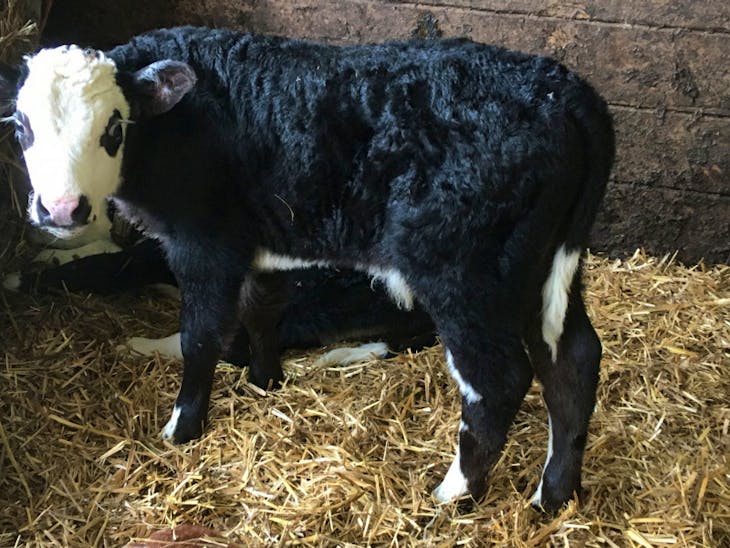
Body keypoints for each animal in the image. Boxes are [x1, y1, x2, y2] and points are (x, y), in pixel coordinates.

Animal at [0, 26, 614, 511]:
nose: (61, 209)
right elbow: (260, 310)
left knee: (498, 378)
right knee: (574, 360)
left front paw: (182, 428)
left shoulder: (205, 245)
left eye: (113, 128)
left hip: (460, 272)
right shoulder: (262, 243)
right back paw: (552, 496)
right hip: (542, 267)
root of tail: (562, 87)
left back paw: (453, 493)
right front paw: (264, 381)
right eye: (22, 128)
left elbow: (200, 335)